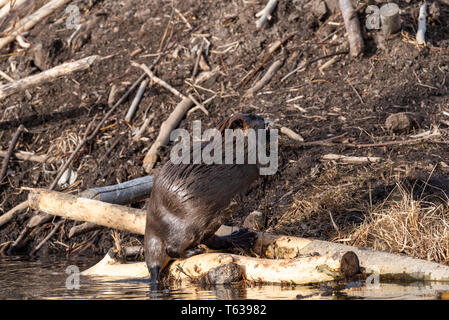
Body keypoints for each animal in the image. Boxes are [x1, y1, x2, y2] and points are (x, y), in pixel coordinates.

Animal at [145, 114, 268, 286]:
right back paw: (195, 251)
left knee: (211, 240)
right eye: (252, 117)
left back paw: (241, 236)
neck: (228, 145)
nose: (263, 118)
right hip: (186, 226)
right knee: (172, 249)